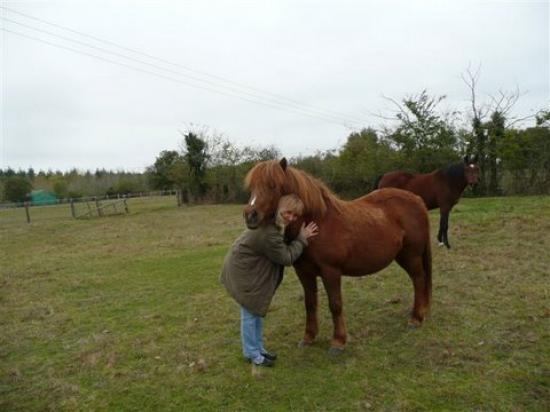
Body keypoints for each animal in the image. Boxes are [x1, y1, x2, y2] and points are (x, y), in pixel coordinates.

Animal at [244, 159, 434, 352]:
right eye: (252, 187)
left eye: (273, 185)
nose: (250, 216)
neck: (319, 223)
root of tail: (417, 200)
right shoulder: (304, 273)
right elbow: (310, 304)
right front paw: (308, 337)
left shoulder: (331, 271)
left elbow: (335, 304)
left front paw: (338, 341)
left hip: (411, 256)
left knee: (419, 280)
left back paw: (416, 319)